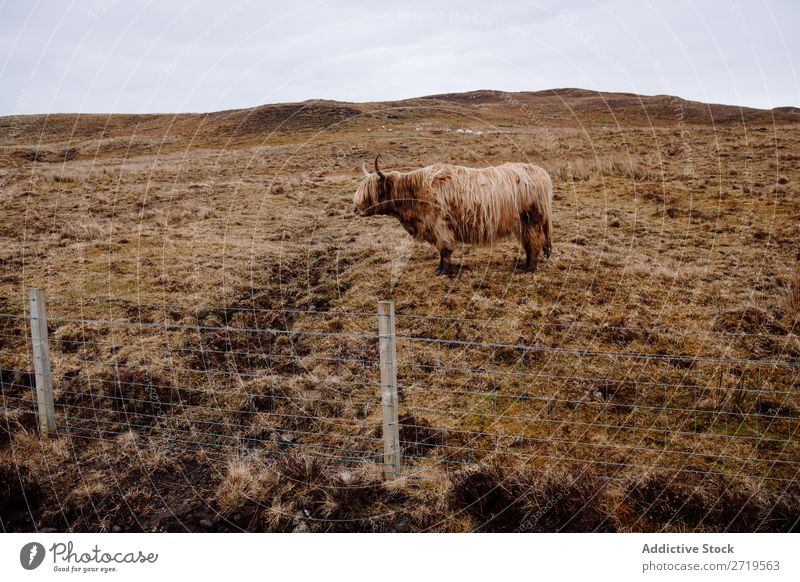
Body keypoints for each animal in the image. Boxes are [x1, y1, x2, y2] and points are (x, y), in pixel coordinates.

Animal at [354, 156, 552, 278]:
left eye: (371, 192)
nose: (355, 209)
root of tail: (541, 172)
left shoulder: (440, 226)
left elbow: (445, 250)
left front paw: (443, 272)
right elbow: (442, 252)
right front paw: (439, 269)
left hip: (532, 221)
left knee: (534, 243)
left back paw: (529, 270)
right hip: (524, 224)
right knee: (528, 244)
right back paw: (524, 266)